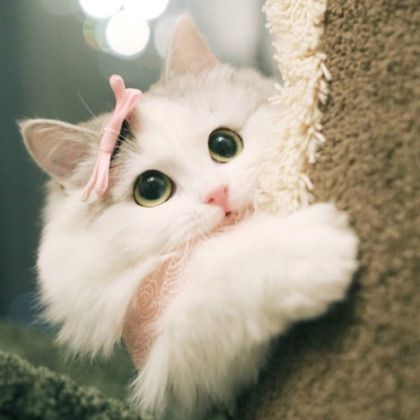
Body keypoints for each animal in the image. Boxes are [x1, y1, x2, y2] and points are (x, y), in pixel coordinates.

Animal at [20, 16, 358, 420]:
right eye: (151, 189)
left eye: (224, 145)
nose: (218, 194)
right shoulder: (177, 364)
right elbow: (232, 278)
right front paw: (319, 248)